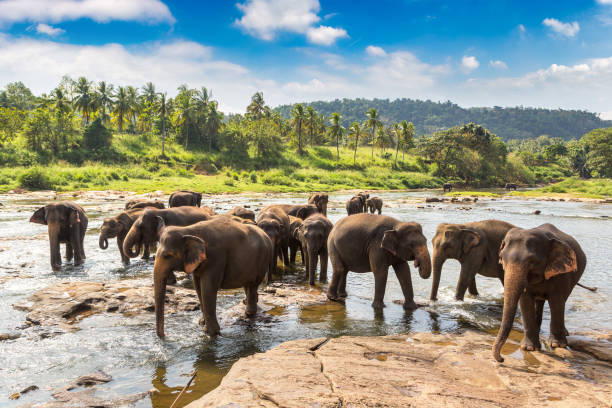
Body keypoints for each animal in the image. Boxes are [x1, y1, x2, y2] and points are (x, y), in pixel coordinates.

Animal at [490, 225, 584, 362]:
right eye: (502, 258)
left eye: (531, 261)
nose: (502, 359)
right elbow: (525, 301)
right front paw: (529, 348)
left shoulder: (562, 274)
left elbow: (557, 301)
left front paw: (557, 345)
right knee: (539, 302)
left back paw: (564, 333)